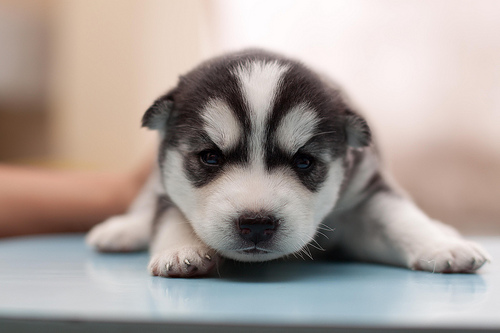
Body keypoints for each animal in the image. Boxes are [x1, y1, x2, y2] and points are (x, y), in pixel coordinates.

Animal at [86, 49, 488, 276]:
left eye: (304, 162)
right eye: (210, 157)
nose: (256, 224)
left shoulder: (366, 191)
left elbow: (401, 218)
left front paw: (439, 247)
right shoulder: (167, 187)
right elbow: (169, 216)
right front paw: (181, 250)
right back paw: (124, 229)